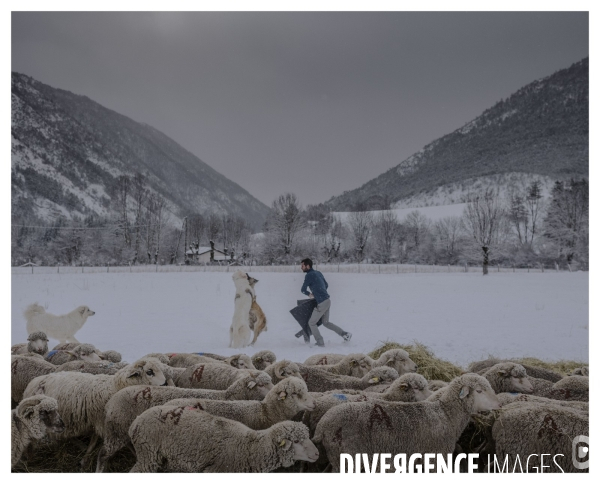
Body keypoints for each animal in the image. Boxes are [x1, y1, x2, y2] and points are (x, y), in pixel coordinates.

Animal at [22, 358, 168, 466]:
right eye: (150, 371)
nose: (165, 384)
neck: (115, 387)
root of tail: (32, 383)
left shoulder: (98, 420)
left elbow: (94, 439)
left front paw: (85, 459)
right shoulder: (108, 423)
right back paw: (30, 459)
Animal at [95, 370, 274, 472]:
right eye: (262, 384)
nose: (274, 391)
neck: (227, 397)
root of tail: (110, 401)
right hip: (116, 430)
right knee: (103, 454)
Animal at [127, 408, 318, 472]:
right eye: (297, 441)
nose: (317, 454)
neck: (249, 448)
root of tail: (135, 422)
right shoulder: (217, 470)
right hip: (148, 454)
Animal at [314, 372, 502, 470]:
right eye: (479, 391)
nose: (498, 404)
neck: (447, 414)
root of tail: (322, 426)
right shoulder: (435, 455)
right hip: (346, 457)